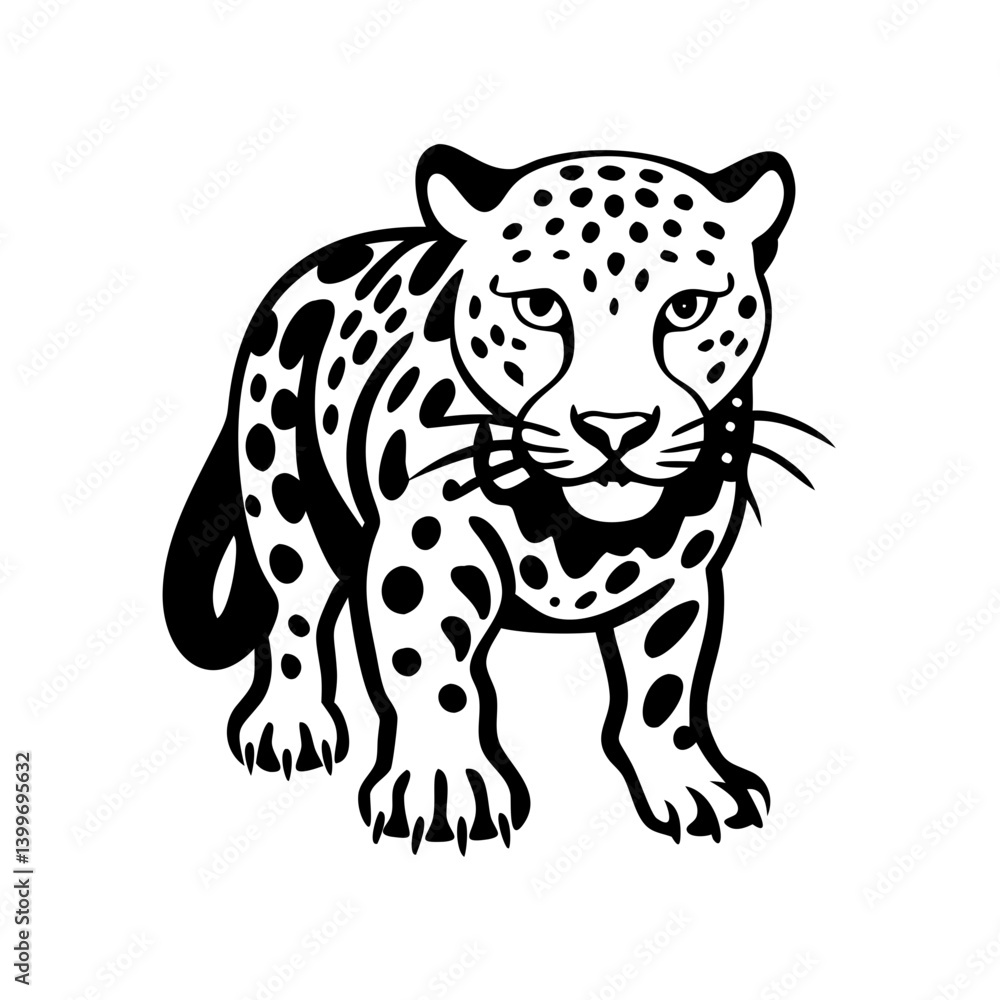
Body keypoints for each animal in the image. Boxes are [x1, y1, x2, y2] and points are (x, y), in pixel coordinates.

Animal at [164, 145, 828, 852]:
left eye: (688, 308)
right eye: (538, 306)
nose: (615, 427)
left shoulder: (680, 573)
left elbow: (665, 688)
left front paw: (689, 785)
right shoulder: (427, 549)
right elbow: (430, 669)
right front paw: (443, 788)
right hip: (282, 495)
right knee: (294, 612)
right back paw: (289, 729)